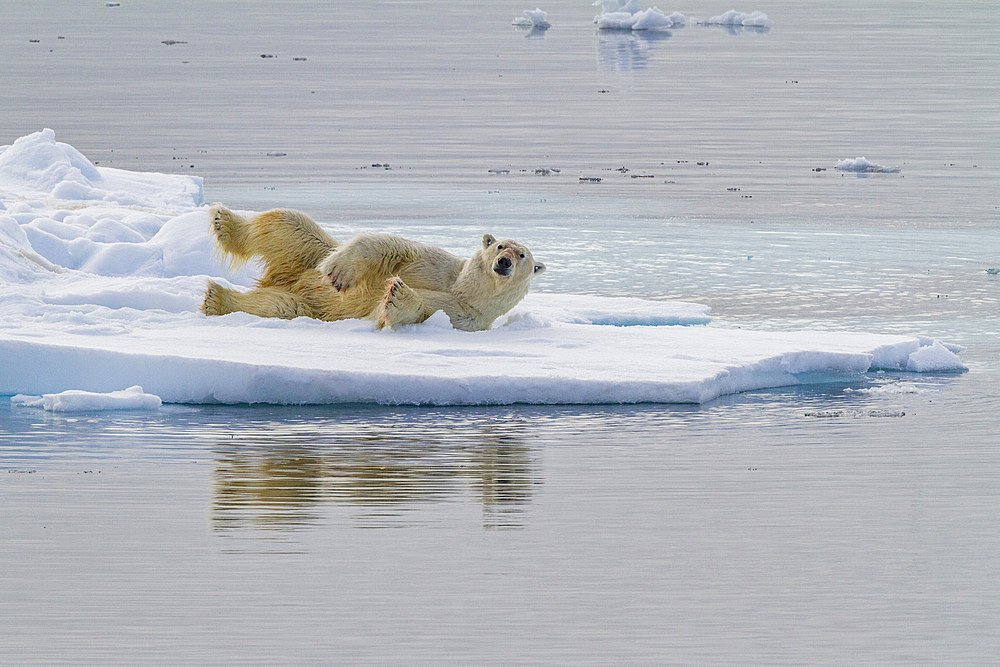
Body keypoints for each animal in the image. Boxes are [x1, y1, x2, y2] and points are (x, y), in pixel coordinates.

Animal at [201, 202, 548, 330]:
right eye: (501, 245)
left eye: (523, 256)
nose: (504, 262)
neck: (463, 289)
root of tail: (280, 279)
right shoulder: (441, 266)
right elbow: (396, 249)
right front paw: (340, 273)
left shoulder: (466, 316)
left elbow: (417, 310)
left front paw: (396, 294)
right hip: (308, 255)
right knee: (288, 224)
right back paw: (224, 222)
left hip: (310, 304)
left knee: (281, 305)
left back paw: (216, 299)